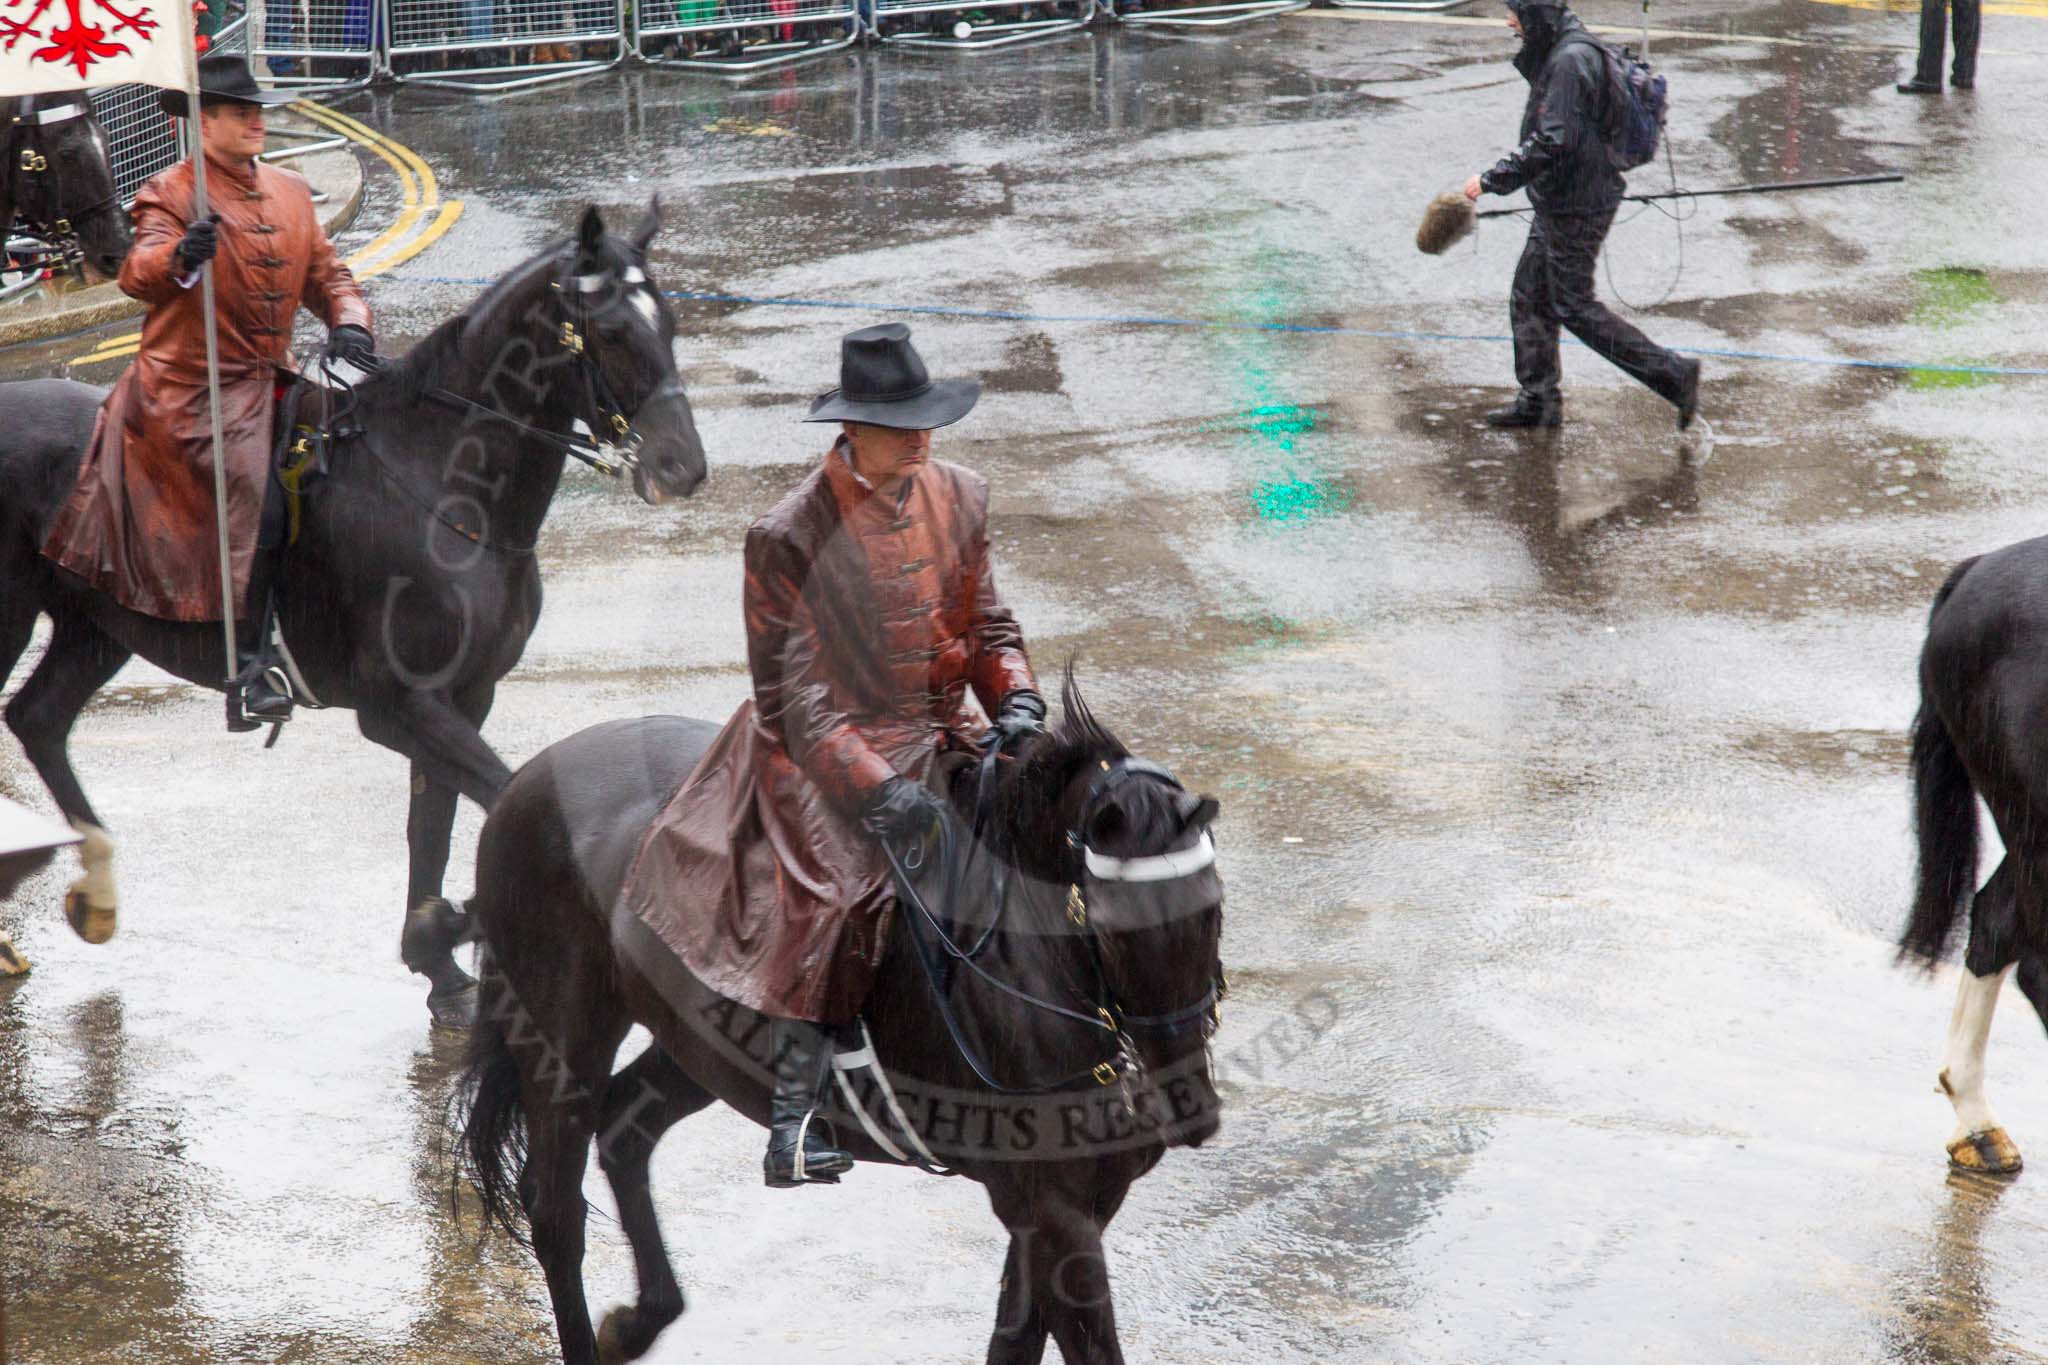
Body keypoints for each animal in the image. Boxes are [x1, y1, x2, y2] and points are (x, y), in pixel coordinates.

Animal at [0, 200, 704, 1015]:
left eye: (670, 322)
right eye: (613, 331)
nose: (684, 467)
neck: (444, 485)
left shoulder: (465, 694)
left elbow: (432, 824)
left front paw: (439, 960)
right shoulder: (399, 704)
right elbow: (499, 794)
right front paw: (451, 926)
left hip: (97, 627)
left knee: (39, 720)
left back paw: (97, 893)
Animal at [456, 679, 1220, 1365]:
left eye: (1212, 907)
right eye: (1114, 924)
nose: (1190, 1109)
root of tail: (525, 781)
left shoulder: (1075, 1201)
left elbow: (1014, 1339)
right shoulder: (1051, 1209)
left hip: (699, 1046)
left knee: (625, 1125)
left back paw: (641, 1319)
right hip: (564, 1035)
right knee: (555, 1208)